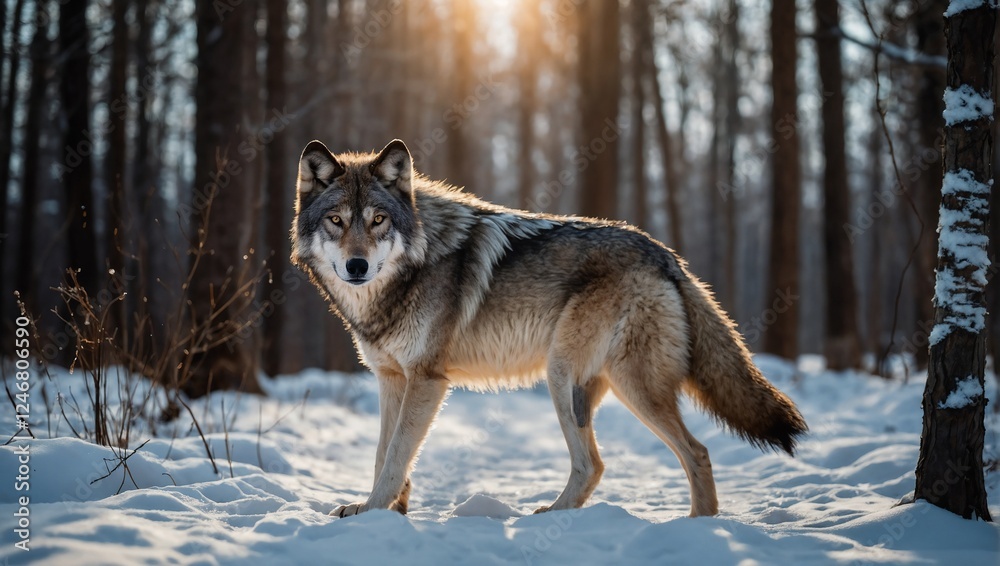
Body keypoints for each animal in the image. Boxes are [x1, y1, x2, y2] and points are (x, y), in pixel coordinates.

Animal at [290, 139, 807, 518]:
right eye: (337, 221)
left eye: (378, 220)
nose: (357, 266)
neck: (412, 268)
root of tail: (667, 256)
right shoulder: (391, 378)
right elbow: (384, 454)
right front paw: (387, 511)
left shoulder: (427, 380)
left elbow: (396, 453)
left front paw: (372, 512)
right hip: (583, 382)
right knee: (601, 465)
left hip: (574, 376)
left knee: (680, 453)